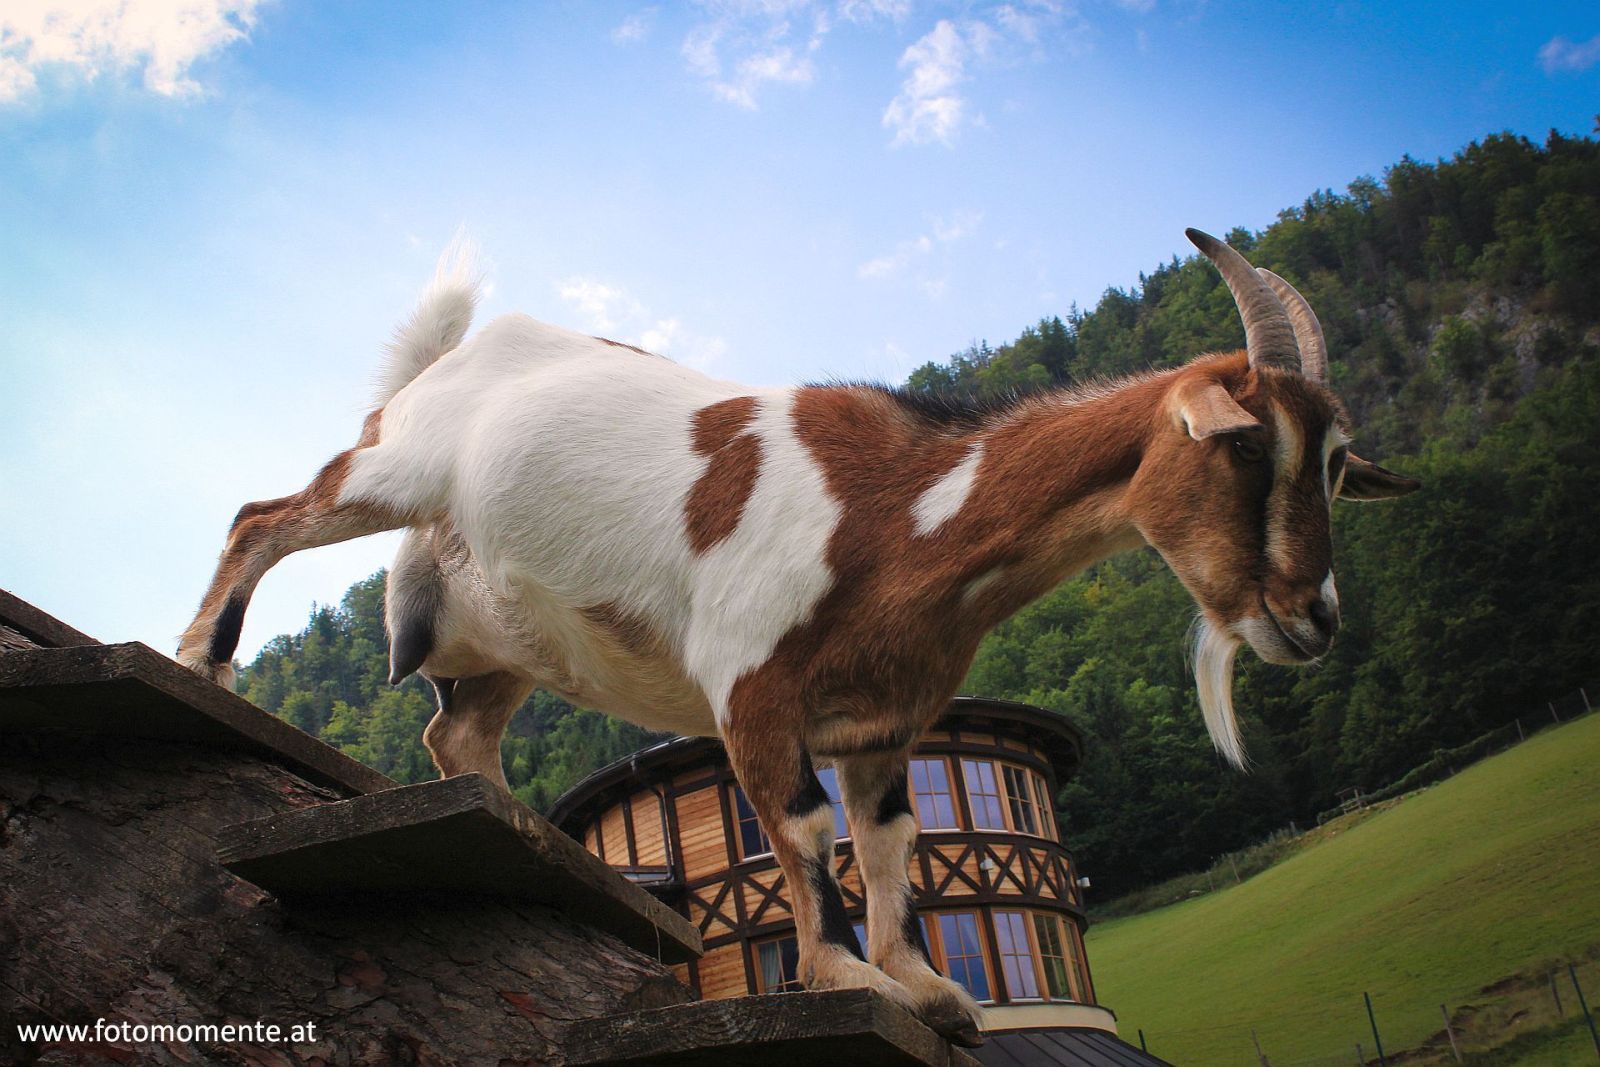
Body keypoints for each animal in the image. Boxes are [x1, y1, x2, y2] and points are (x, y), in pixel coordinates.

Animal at [178, 231, 1414, 1043]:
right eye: (1244, 442)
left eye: (1337, 464)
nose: (1313, 616)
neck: (899, 507)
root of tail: (452, 358)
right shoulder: (752, 684)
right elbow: (806, 831)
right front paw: (843, 977)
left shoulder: (884, 719)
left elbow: (890, 843)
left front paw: (929, 988)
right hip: (392, 470)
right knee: (262, 516)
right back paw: (204, 661)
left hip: (507, 635)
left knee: (455, 736)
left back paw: (514, 826)